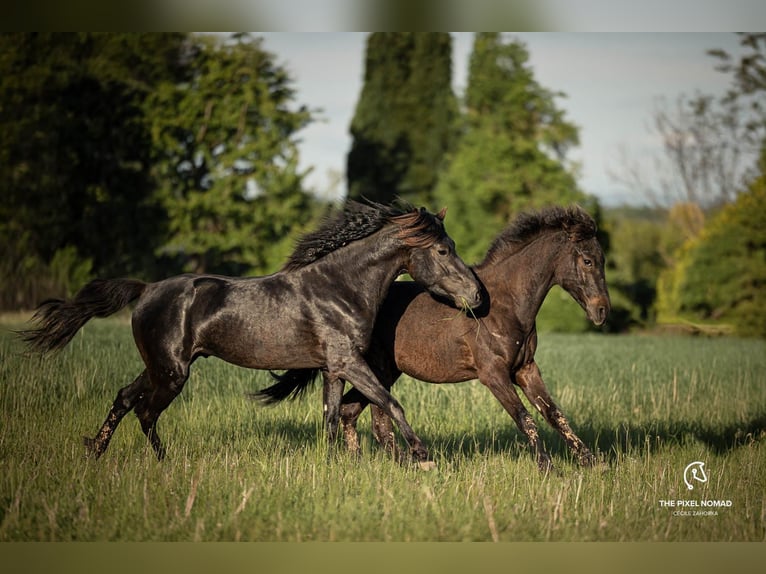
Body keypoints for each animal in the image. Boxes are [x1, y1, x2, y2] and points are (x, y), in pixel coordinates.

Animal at [21, 200, 484, 466]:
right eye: (443, 250)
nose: (478, 295)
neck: (340, 287)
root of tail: (147, 289)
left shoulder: (333, 368)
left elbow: (331, 418)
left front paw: (333, 467)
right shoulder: (349, 362)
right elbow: (391, 402)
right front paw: (423, 457)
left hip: (158, 366)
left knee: (124, 398)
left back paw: (95, 451)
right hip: (171, 372)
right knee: (145, 411)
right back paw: (162, 463)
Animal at [258, 206, 612, 472]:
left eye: (602, 259)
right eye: (587, 260)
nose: (602, 311)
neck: (505, 303)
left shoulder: (525, 368)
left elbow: (554, 414)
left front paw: (592, 462)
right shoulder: (493, 374)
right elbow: (525, 417)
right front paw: (547, 467)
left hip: (382, 373)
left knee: (351, 412)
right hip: (375, 370)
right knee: (375, 420)